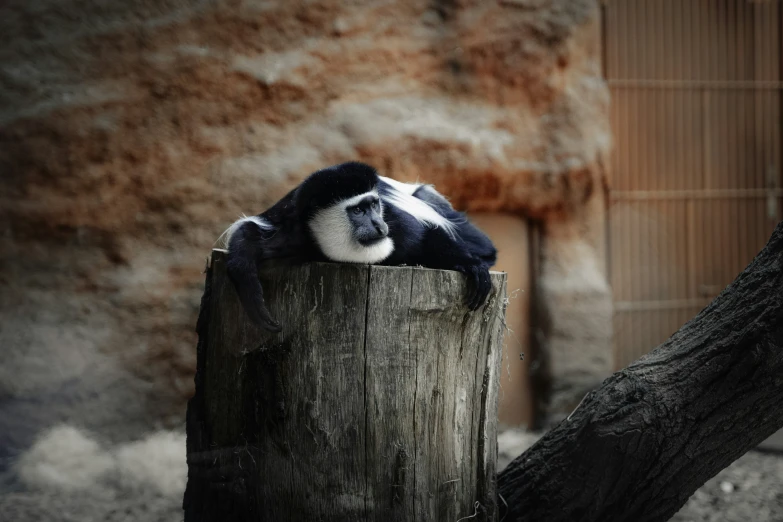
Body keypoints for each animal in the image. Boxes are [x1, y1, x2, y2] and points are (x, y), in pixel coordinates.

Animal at [220, 160, 496, 332]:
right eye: (358, 211)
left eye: (373, 205)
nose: (378, 225)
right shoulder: (295, 229)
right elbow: (251, 231)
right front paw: (250, 290)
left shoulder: (396, 221)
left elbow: (428, 234)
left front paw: (472, 266)